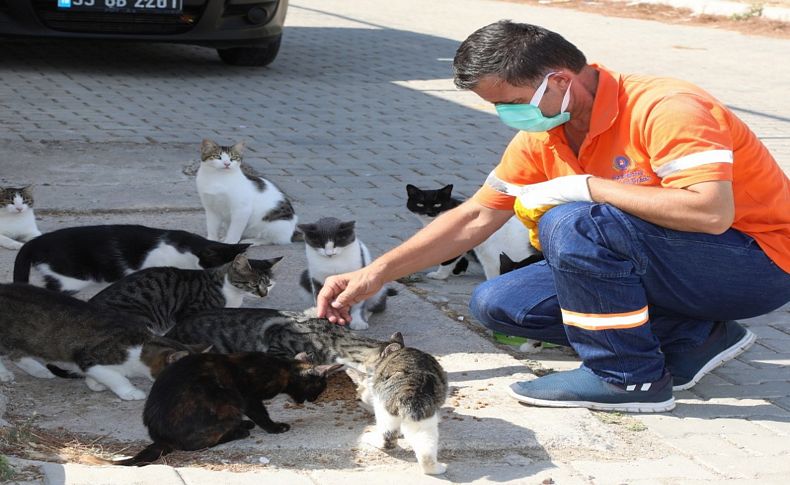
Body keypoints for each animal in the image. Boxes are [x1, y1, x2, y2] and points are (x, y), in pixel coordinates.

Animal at [0, 282, 209, 398]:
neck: (141, 345)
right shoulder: (89, 359)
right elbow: (115, 377)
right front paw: (130, 392)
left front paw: (95, 384)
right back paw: (5, 375)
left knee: (17, 354)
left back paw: (40, 371)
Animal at [348, 334, 452, 474]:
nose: (361, 363)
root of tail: (412, 388)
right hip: (424, 419)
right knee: (425, 452)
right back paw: (435, 469)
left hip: (383, 409)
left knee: (387, 439)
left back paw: (368, 436)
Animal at [406, 182, 540, 280]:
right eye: (420, 204)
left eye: (437, 205)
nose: (430, 213)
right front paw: (458, 271)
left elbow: (448, 261)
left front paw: (439, 275)